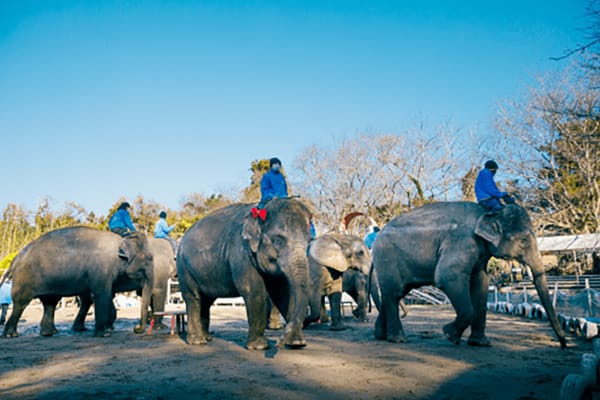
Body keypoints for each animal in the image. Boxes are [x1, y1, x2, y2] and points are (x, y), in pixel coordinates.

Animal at [2, 227, 152, 336]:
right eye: (149, 260)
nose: (136, 329)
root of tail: (16, 258)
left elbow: (105, 294)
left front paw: (107, 329)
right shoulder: (101, 268)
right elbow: (102, 293)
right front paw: (105, 334)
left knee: (50, 302)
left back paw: (50, 333)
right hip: (25, 278)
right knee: (21, 302)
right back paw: (11, 335)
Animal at [176, 198, 312, 348]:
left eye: (309, 241)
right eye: (277, 240)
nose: (279, 342)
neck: (262, 207)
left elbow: (282, 293)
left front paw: (296, 343)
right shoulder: (241, 252)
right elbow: (253, 290)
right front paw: (259, 346)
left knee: (206, 301)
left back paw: (207, 337)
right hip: (184, 267)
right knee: (193, 298)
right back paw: (197, 341)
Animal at [370, 202, 568, 348]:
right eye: (523, 240)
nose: (564, 344)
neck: (489, 213)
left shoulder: (480, 253)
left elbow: (480, 282)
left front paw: (480, 343)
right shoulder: (462, 241)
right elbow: (447, 276)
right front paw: (449, 334)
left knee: (394, 294)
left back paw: (381, 336)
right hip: (387, 257)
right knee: (394, 293)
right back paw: (397, 339)